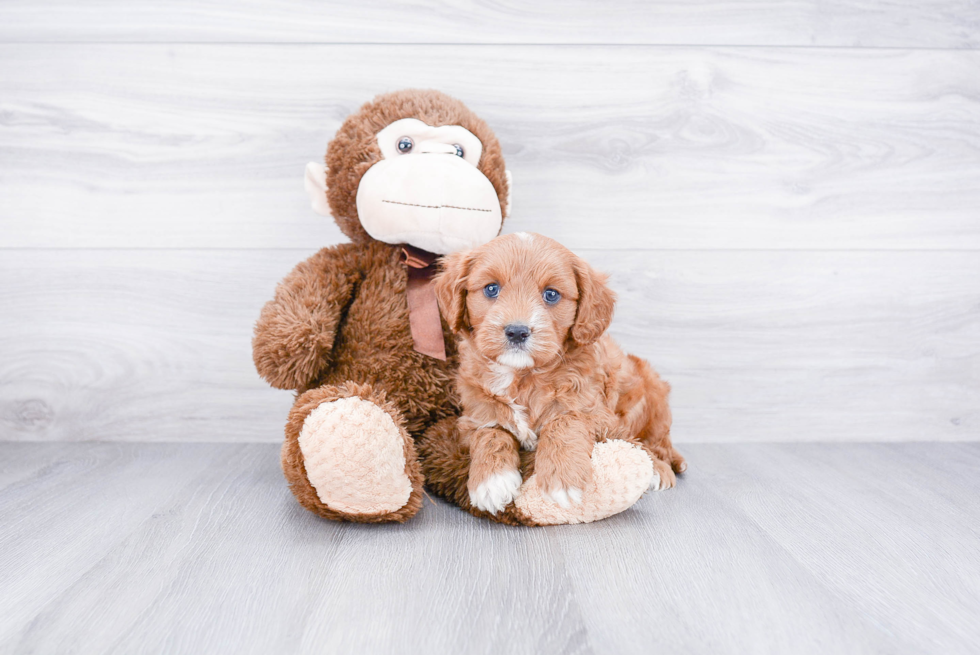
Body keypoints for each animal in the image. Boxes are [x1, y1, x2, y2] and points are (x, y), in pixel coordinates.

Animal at [432, 233, 684, 516]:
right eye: (491, 289)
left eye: (551, 294)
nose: (517, 331)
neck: (522, 376)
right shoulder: (474, 416)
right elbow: (490, 432)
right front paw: (491, 481)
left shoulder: (598, 414)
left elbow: (564, 421)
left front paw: (562, 479)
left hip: (653, 396)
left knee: (658, 444)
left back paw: (659, 469)